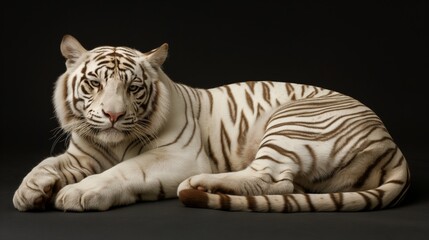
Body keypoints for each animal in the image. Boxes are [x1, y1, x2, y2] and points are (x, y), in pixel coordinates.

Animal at [12, 34, 408, 212]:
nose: (113, 115)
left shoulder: (175, 157)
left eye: (133, 87)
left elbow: (122, 171)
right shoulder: (84, 153)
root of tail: (391, 141)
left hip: (292, 122)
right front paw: (28, 191)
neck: (112, 142)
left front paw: (77, 192)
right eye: (95, 83)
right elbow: (46, 164)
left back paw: (200, 184)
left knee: (272, 179)